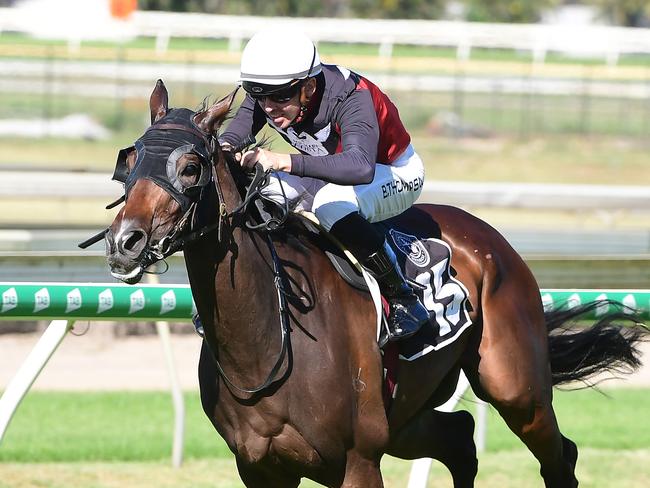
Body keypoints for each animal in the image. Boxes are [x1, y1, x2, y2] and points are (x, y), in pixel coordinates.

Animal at [97, 81, 644, 488]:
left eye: (190, 167)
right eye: (130, 160)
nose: (125, 241)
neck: (267, 335)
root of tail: (491, 240)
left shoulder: (357, 461)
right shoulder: (260, 466)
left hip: (516, 389)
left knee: (558, 456)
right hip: (407, 414)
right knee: (461, 440)